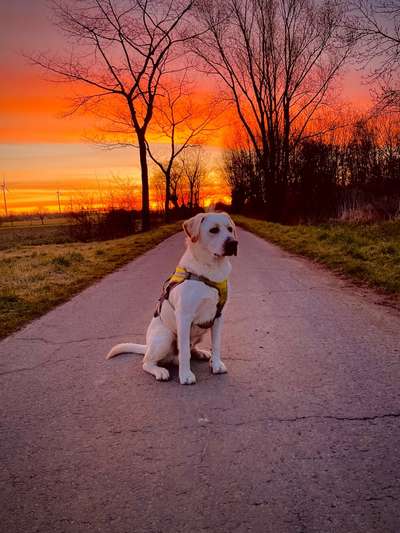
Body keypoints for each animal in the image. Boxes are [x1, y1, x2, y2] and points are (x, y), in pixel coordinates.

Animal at [105, 211, 238, 382]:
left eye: (230, 229)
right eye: (213, 230)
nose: (233, 243)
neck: (211, 269)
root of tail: (147, 346)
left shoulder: (218, 316)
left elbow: (216, 344)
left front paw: (216, 365)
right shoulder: (184, 317)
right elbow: (184, 352)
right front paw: (186, 375)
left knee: (190, 349)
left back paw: (199, 353)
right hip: (165, 336)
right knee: (148, 362)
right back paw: (160, 371)